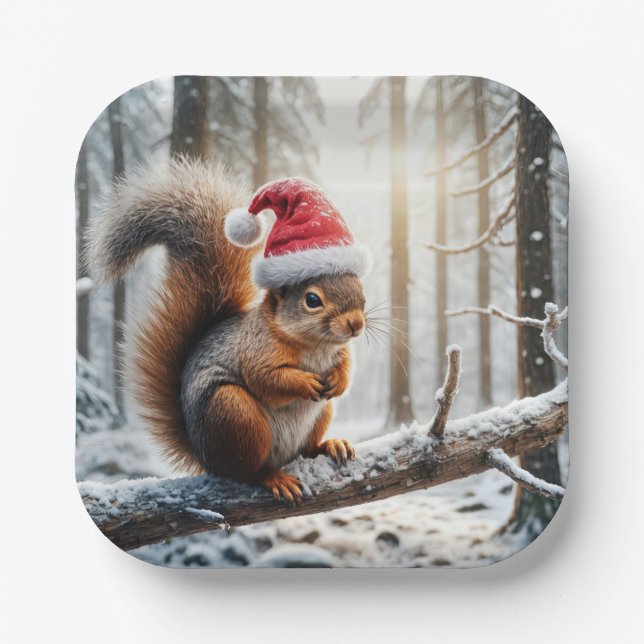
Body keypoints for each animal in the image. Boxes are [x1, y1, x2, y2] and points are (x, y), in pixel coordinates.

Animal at [87, 157, 373, 504]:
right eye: (312, 300)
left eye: (359, 288)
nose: (356, 324)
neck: (315, 344)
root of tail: (204, 456)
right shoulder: (255, 348)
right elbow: (266, 378)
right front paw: (304, 382)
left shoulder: (340, 350)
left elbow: (346, 366)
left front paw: (338, 380)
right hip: (233, 413)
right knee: (246, 470)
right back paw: (273, 477)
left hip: (319, 414)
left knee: (307, 449)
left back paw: (330, 445)